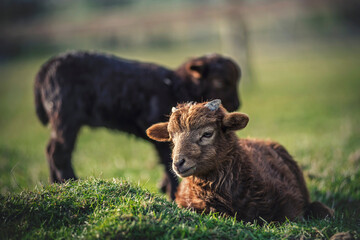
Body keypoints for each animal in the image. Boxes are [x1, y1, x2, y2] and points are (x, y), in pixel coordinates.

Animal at [34, 50, 242, 199]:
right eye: (220, 82)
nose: (236, 104)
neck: (177, 86)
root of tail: (45, 69)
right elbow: (168, 162)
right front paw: (172, 192)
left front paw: (164, 187)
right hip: (65, 116)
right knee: (58, 151)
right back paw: (70, 181)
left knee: (51, 149)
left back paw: (56, 183)